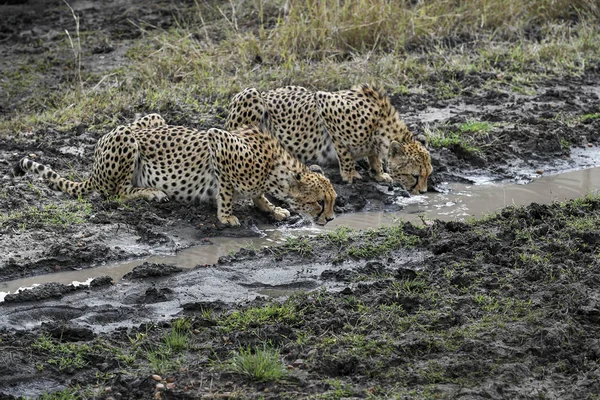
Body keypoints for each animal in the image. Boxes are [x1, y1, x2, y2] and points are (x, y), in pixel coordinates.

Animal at [12, 113, 338, 225]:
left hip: (154, 119)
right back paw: (152, 193)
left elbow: (259, 196)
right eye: (320, 202)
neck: (275, 168)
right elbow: (225, 190)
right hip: (126, 138)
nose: (331, 219)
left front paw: (273, 209)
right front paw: (227, 216)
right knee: (117, 193)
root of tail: (92, 166)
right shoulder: (218, 141)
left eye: (333, 201)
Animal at [225, 84, 432, 194]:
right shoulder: (325, 104)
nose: (423, 192)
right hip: (251, 95)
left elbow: (374, 156)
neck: (379, 124)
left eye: (428, 174)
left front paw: (378, 172)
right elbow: (344, 151)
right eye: (415, 175)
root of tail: (268, 91)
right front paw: (350, 175)